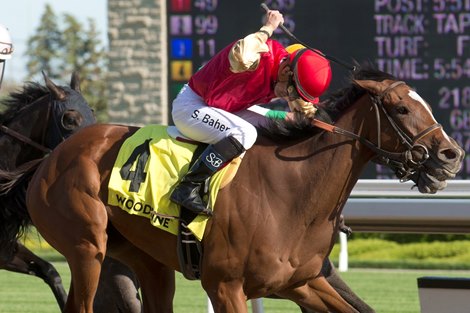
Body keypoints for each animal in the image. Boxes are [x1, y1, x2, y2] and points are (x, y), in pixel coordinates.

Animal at [2, 64, 466, 310]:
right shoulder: (226, 287)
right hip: (86, 248)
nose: (451, 155)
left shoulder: (299, 282)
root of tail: (48, 160)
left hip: (145, 260)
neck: (292, 193)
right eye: (401, 108)